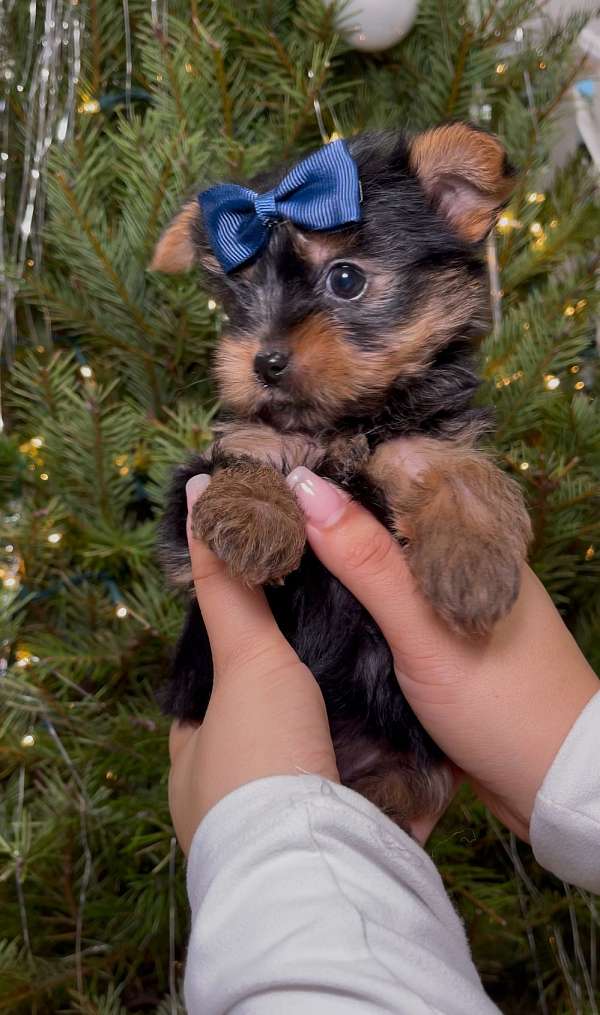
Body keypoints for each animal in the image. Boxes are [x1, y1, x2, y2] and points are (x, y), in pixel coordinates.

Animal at [151, 122, 531, 828]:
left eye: (346, 280)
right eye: (240, 301)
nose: (263, 361)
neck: (348, 423)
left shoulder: (428, 439)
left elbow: (466, 473)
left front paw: (473, 567)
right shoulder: (208, 482)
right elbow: (245, 453)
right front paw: (252, 518)